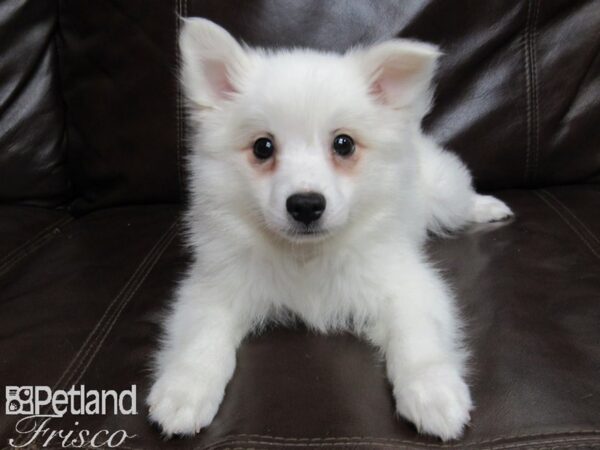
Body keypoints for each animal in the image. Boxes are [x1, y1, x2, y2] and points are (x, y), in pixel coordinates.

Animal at [148, 17, 512, 440]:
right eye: (262, 147)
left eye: (343, 144)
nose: (306, 205)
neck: (307, 255)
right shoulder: (215, 285)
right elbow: (200, 337)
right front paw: (184, 390)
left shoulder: (406, 283)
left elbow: (418, 338)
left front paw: (433, 392)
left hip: (443, 191)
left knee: (461, 197)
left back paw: (489, 207)